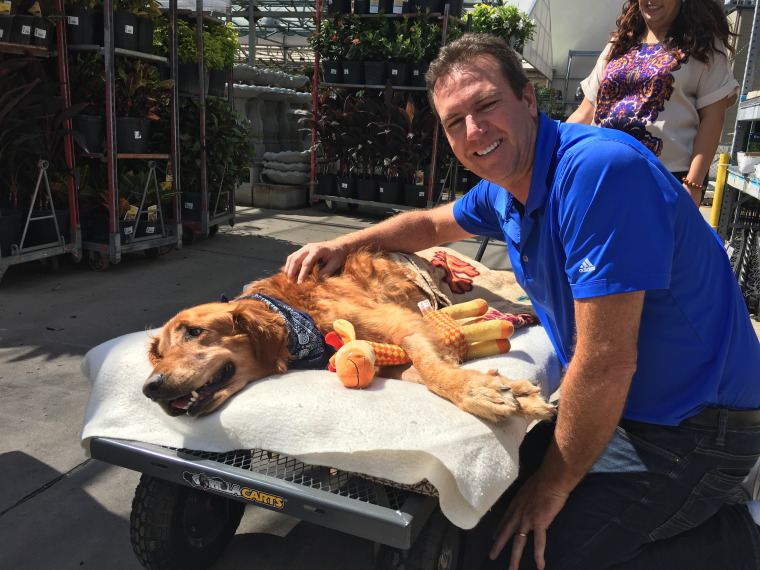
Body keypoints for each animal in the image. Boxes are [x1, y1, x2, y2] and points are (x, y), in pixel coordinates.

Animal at [144, 250, 560, 422]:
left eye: (195, 332)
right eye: (157, 355)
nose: (150, 388)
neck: (296, 316)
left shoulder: (402, 323)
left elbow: (431, 370)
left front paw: (475, 391)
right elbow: (420, 372)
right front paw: (507, 390)